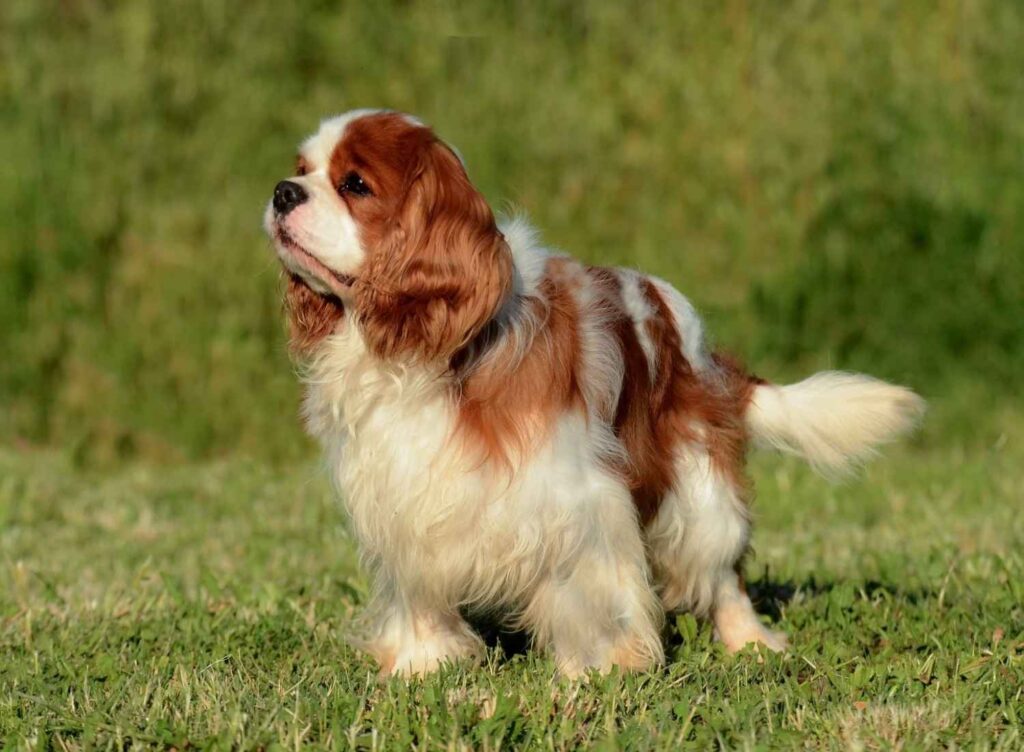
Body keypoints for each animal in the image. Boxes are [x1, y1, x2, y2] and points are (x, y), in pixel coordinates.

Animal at [260, 110, 925, 676]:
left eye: (355, 184)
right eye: (301, 167)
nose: (283, 191)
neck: (432, 354)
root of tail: (705, 350)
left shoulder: (577, 495)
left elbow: (593, 584)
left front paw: (604, 667)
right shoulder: (402, 495)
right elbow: (418, 584)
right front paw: (423, 661)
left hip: (695, 488)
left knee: (723, 572)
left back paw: (750, 643)